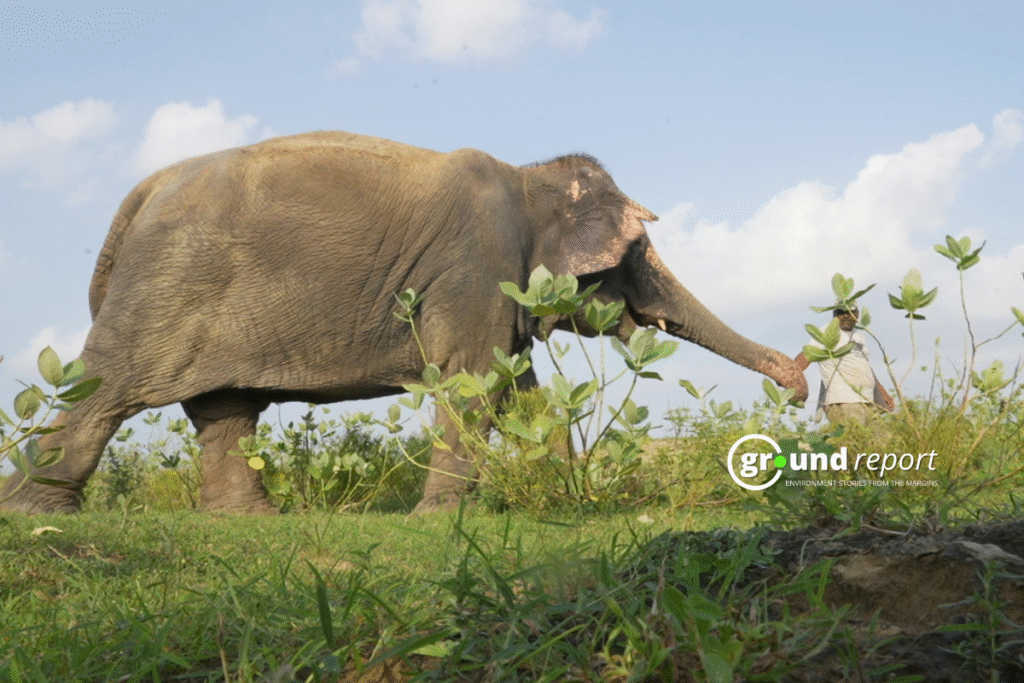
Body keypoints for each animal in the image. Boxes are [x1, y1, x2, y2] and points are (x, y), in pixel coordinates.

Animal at [0, 131, 808, 514]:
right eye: (636, 254)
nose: (799, 383)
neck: (527, 180)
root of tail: (139, 194)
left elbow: (518, 394)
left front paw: (565, 494)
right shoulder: (477, 266)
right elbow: (475, 384)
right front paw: (439, 518)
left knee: (223, 410)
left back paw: (247, 522)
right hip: (167, 288)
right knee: (106, 393)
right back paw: (36, 511)